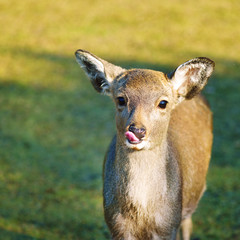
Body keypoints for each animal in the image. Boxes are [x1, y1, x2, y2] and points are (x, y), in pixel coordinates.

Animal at [75, 49, 214, 240]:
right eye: (121, 99)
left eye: (163, 103)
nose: (137, 130)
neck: (141, 214)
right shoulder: (115, 225)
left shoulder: (169, 226)